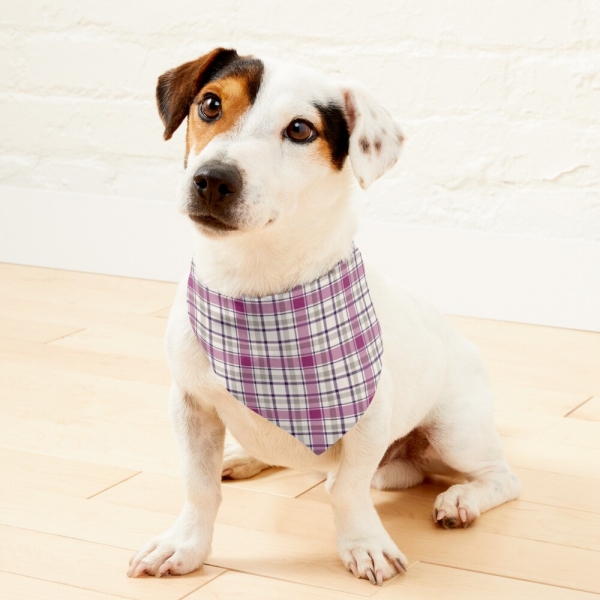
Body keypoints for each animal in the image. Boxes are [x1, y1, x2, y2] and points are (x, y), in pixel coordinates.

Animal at [127, 48, 520, 584]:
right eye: (210, 104)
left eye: (299, 130)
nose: (212, 179)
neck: (254, 284)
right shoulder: (190, 405)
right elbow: (199, 486)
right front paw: (185, 545)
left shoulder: (368, 419)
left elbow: (347, 490)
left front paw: (365, 544)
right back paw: (244, 456)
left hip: (456, 432)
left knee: (500, 477)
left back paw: (461, 499)